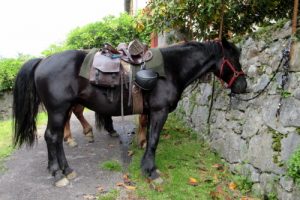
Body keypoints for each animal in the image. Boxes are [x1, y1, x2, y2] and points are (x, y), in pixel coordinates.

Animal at [12, 38, 246, 186]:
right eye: (233, 59)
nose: (243, 85)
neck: (170, 69)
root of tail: (43, 60)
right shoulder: (160, 112)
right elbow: (154, 140)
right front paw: (151, 172)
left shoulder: (150, 112)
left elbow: (148, 136)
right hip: (58, 110)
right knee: (52, 137)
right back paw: (57, 174)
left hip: (63, 110)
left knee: (58, 137)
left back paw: (67, 169)